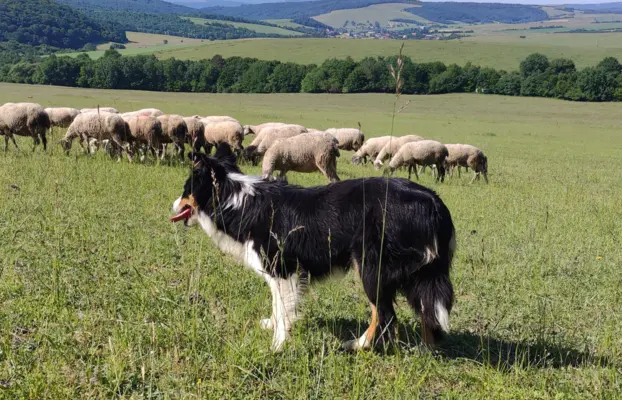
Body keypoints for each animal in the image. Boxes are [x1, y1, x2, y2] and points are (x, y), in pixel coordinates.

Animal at [173, 143, 456, 350]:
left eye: (186, 189)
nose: (172, 206)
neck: (237, 200)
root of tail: (433, 202)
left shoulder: (284, 269)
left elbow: (284, 308)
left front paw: (277, 345)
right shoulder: (279, 272)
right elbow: (277, 304)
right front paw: (271, 326)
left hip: (371, 267)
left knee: (385, 315)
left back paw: (358, 345)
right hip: (419, 273)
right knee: (426, 311)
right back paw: (425, 350)